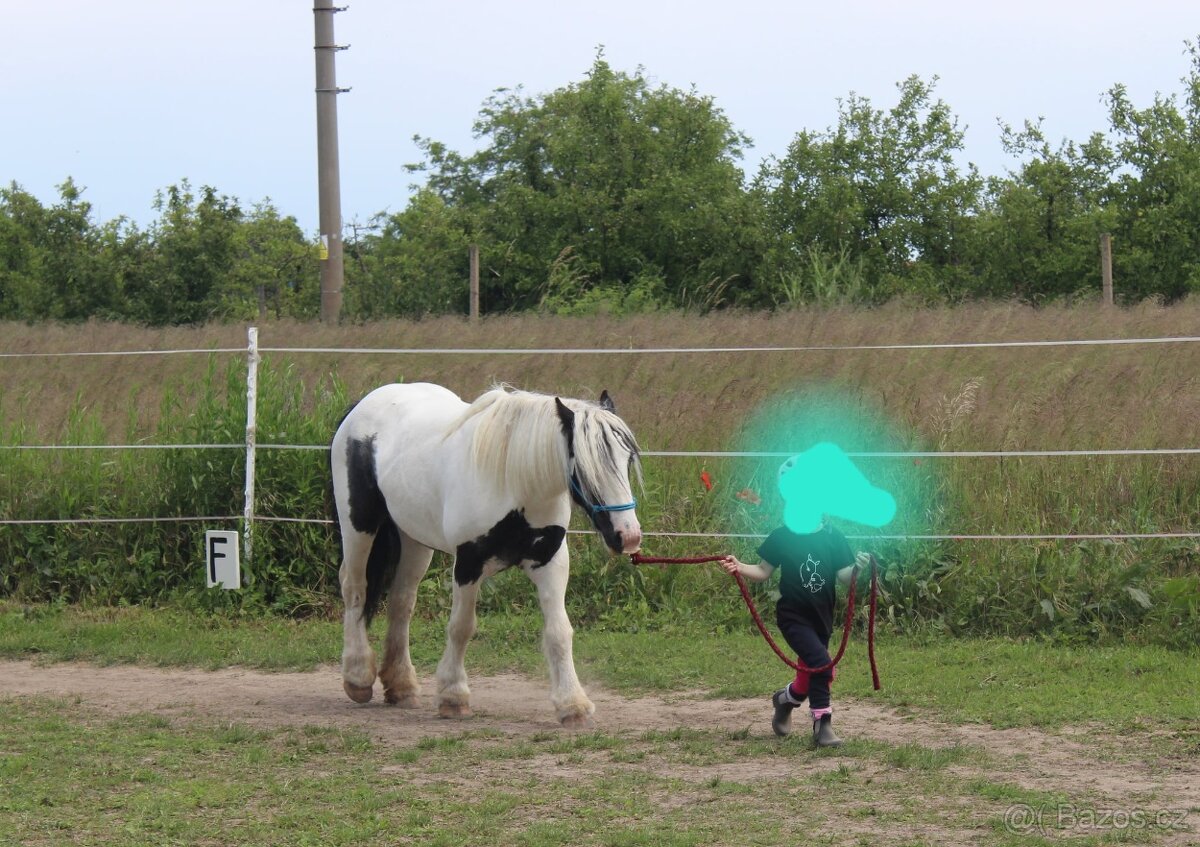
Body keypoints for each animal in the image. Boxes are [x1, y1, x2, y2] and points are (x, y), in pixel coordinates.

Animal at [329, 382, 643, 728]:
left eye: (628, 459)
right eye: (585, 466)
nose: (628, 536)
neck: (514, 482)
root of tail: (363, 404)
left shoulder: (550, 561)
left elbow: (560, 631)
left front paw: (572, 704)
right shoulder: (468, 563)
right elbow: (461, 627)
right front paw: (453, 696)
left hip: (413, 539)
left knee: (401, 602)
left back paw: (401, 686)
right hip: (359, 525)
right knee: (355, 587)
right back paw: (358, 677)